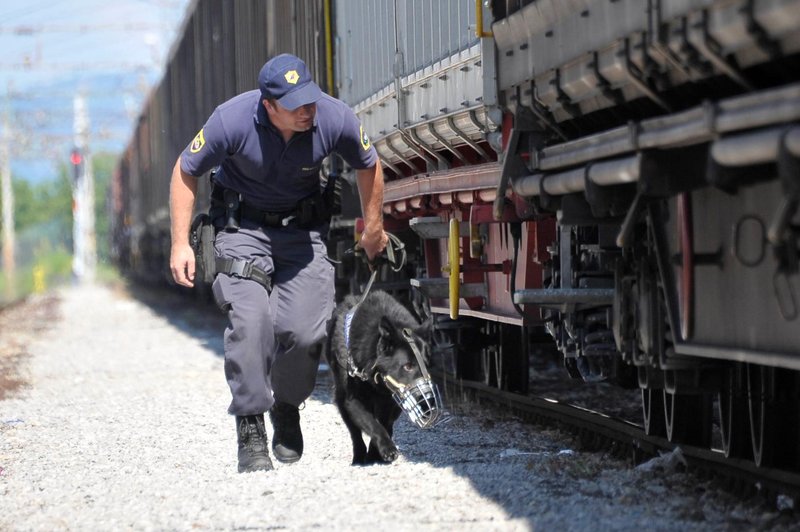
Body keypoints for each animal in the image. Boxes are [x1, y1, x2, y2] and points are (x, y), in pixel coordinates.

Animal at [326, 288, 438, 464]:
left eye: (426, 364)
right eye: (408, 366)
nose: (428, 398)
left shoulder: (389, 401)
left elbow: (383, 423)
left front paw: (375, 452)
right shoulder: (353, 401)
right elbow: (373, 424)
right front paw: (386, 448)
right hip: (342, 400)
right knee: (355, 433)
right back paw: (358, 457)